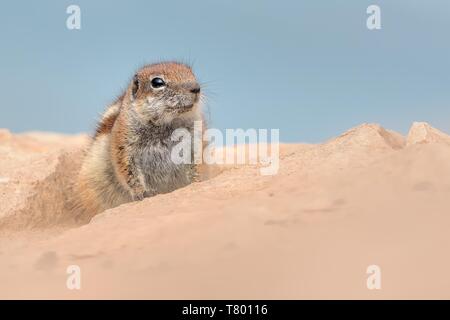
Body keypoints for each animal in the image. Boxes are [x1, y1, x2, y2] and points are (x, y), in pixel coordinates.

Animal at [76, 61, 206, 219]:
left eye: (191, 73)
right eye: (157, 82)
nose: (196, 88)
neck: (166, 125)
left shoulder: (194, 142)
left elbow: (195, 164)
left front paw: (196, 181)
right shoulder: (123, 145)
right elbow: (129, 172)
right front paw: (142, 192)